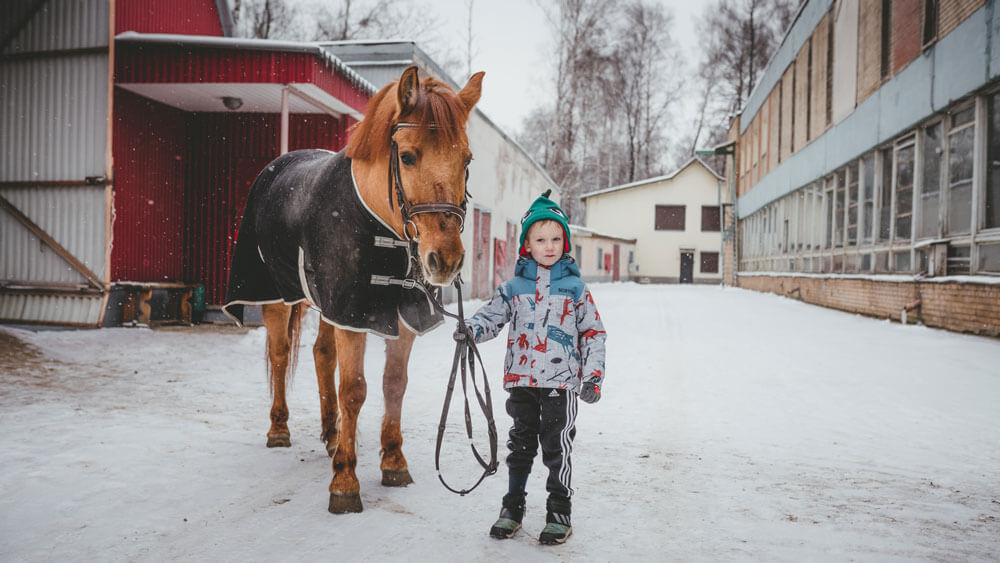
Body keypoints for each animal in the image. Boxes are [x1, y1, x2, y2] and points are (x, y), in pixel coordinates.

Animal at [225, 67, 482, 516]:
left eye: (465, 159)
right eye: (407, 156)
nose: (445, 260)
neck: (380, 222)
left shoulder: (397, 316)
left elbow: (394, 383)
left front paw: (393, 461)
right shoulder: (353, 316)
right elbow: (354, 390)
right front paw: (345, 482)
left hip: (327, 306)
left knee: (320, 355)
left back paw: (331, 435)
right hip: (278, 298)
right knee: (280, 355)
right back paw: (279, 428)